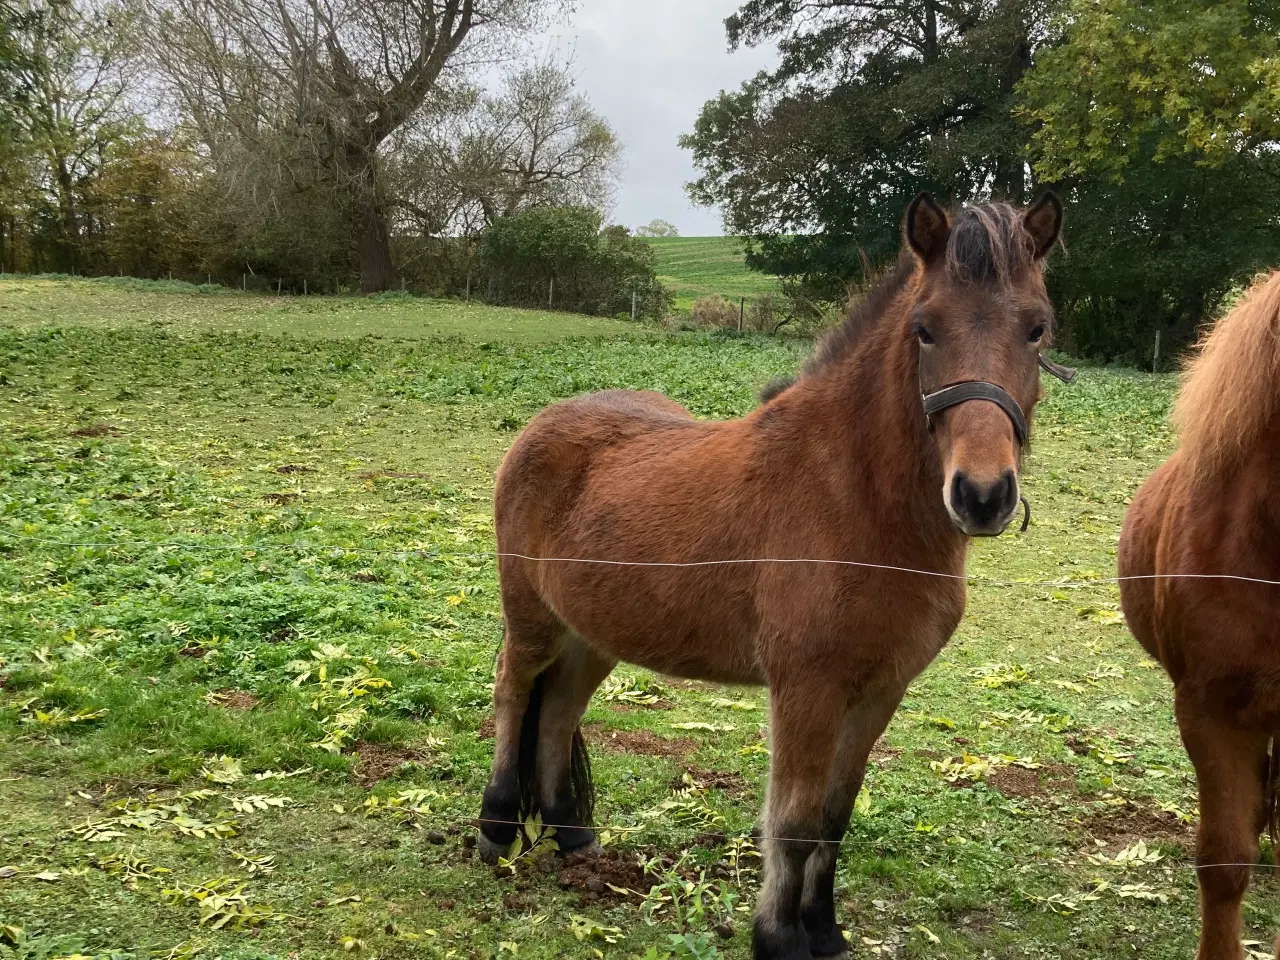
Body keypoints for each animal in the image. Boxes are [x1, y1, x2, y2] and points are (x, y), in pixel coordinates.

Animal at [476, 193, 1064, 960]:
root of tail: (543, 422)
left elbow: (834, 819)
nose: (983, 494)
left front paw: (825, 931)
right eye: (925, 329)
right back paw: (495, 832)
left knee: (559, 711)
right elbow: (793, 821)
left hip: (593, 634)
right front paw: (780, 938)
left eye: (1038, 327)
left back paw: (574, 839)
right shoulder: (807, 690)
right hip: (532, 620)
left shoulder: (879, 693)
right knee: (514, 696)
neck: (855, 505)